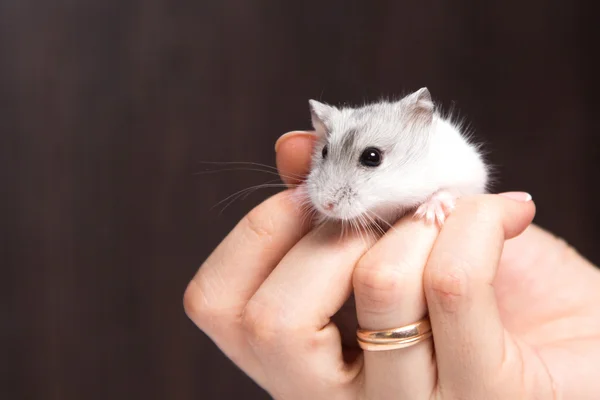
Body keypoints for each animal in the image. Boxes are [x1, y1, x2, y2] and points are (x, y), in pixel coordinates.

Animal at [298, 89, 490, 230]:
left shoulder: (468, 176)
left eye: (372, 157)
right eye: (324, 151)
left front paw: (428, 215)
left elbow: (447, 191)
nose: (326, 206)